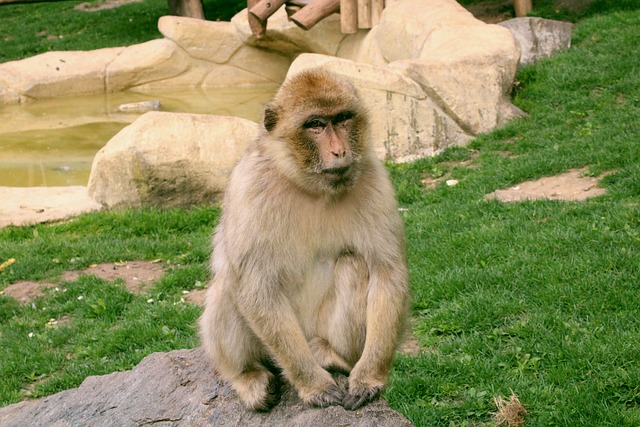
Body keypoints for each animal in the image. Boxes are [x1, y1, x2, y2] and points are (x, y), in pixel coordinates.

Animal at [199, 68, 410, 412]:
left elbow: (387, 272)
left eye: (342, 118)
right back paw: (246, 376)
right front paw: (313, 386)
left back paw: (332, 356)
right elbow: (255, 287)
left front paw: (369, 377)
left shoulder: (374, 180)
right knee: (228, 284)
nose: (339, 151)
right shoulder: (250, 187)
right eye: (315, 125)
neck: (310, 188)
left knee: (352, 264)